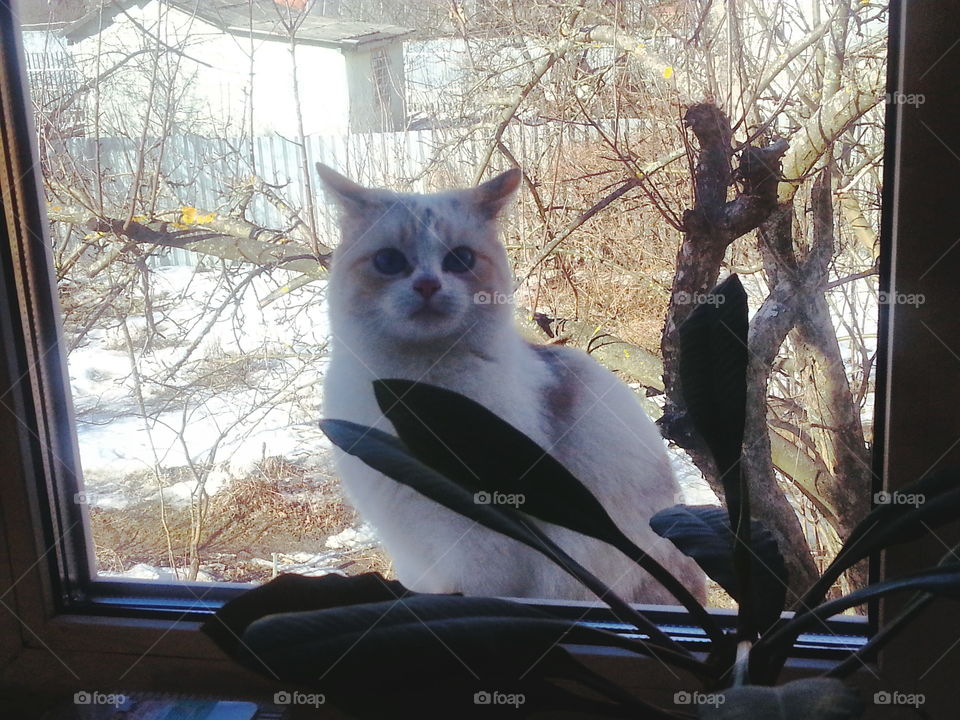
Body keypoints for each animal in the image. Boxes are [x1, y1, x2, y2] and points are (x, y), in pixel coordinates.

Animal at [318, 162, 700, 600]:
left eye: (460, 259)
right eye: (388, 261)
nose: (428, 285)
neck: (410, 388)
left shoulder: (484, 542)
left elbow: (478, 590)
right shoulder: (414, 548)